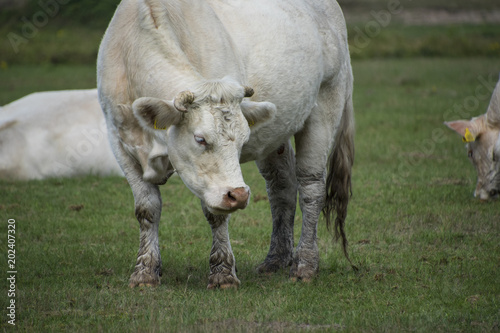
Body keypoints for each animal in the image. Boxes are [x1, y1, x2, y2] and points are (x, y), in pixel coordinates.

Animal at [97, 0, 356, 288]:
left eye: (243, 140)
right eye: (200, 139)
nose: (239, 195)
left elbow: (216, 214)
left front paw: (222, 273)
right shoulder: (119, 143)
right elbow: (147, 208)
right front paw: (145, 272)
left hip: (326, 103)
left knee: (311, 187)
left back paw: (305, 264)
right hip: (276, 134)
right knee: (282, 186)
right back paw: (276, 259)